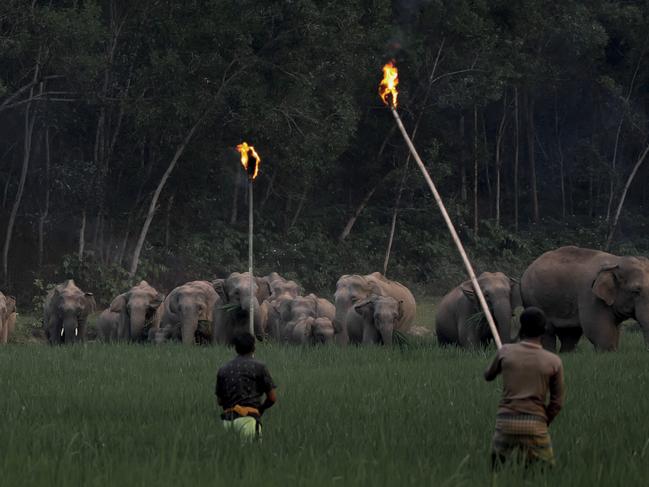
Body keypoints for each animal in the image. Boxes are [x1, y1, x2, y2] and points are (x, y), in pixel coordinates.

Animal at [520, 246, 648, 352]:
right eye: (636, 291)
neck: (617, 261)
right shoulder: (590, 296)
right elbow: (597, 327)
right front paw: (609, 353)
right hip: (534, 300)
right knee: (546, 331)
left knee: (570, 334)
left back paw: (567, 354)